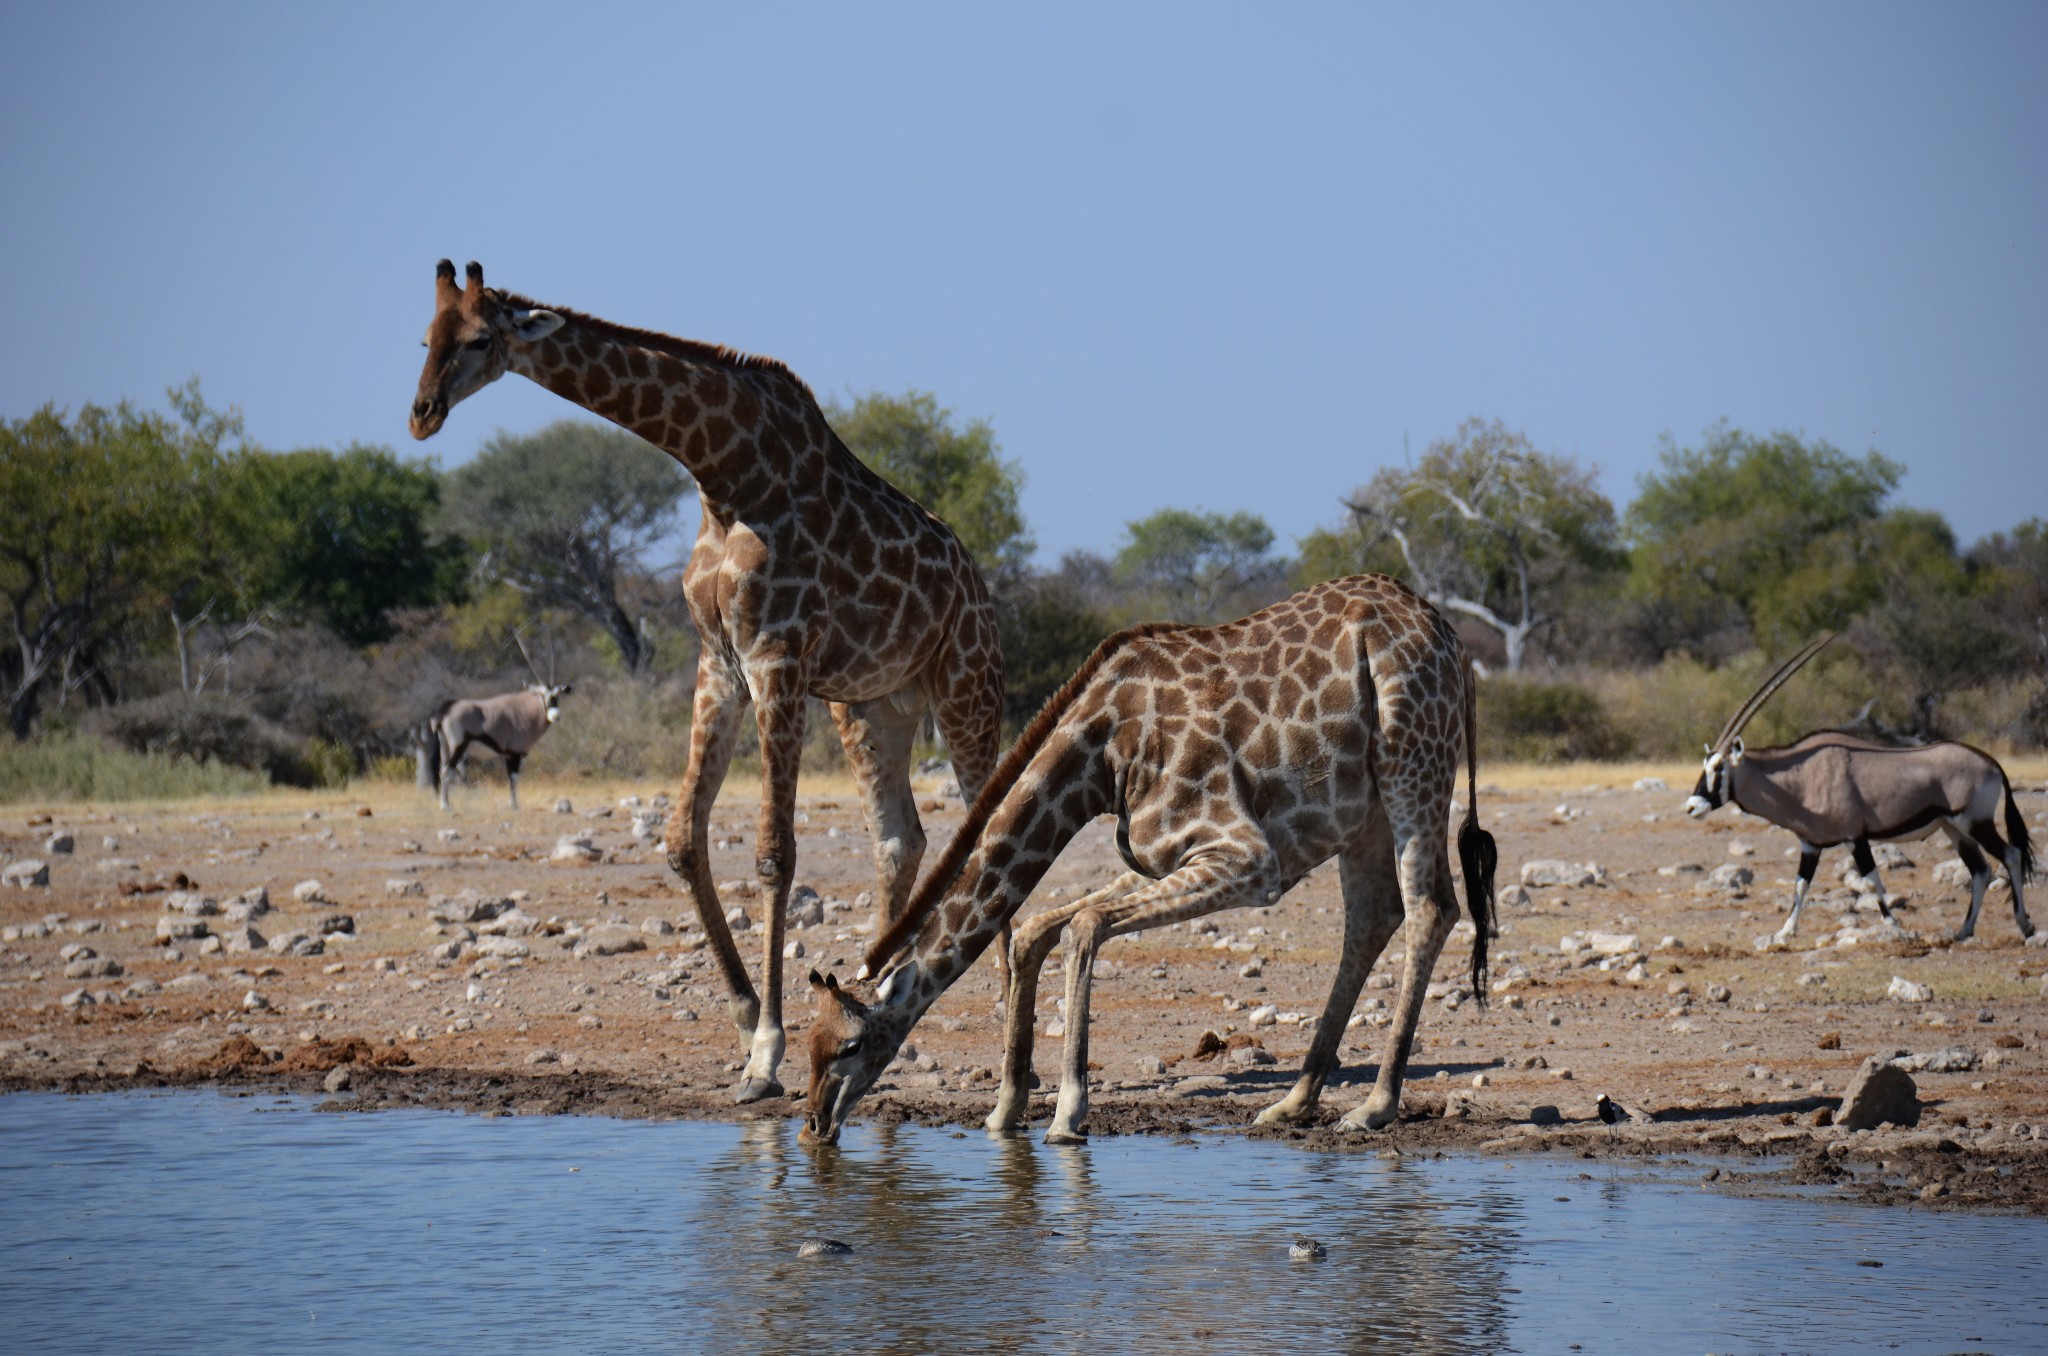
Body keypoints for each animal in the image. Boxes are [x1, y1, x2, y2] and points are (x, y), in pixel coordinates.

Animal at [407, 258, 999, 1106]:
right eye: (425, 337)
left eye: (482, 338)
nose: (422, 414)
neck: (724, 472)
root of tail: (978, 585)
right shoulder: (718, 661)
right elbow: (683, 836)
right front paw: (750, 1020)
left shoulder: (777, 655)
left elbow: (775, 853)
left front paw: (767, 1056)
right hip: (872, 705)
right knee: (899, 838)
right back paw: (875, 1004)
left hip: (965, 685)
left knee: (983, 822)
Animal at [794, 573, 1490, 1147]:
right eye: (809, 1044)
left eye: (851, 1046)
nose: (814, 1126)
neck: (1102, 756)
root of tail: (1454, 644)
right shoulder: (1156, 857)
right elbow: (1036, 930)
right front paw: (1005, 1109)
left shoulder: (1246, 857)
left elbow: (1082, 927)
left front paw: (1067, 1112)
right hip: (1364, 813)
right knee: (1373, 917)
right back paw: (1294, 1101)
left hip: (1412, 765)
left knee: (1431, 908)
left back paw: (1374, 1106)